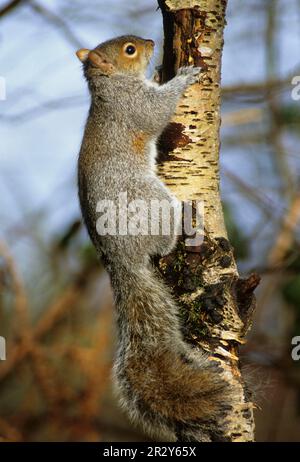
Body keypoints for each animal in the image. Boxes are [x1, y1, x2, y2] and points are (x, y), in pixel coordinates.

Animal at [76, 35, 231, 440]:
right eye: (129, 50)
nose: (149, 41)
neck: (111, 86)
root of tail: (121, 259)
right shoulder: (135, 107)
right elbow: (158, 109)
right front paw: (184, 76)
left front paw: (164, 70)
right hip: (151, 200)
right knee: (164, 241)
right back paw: (187, 222)